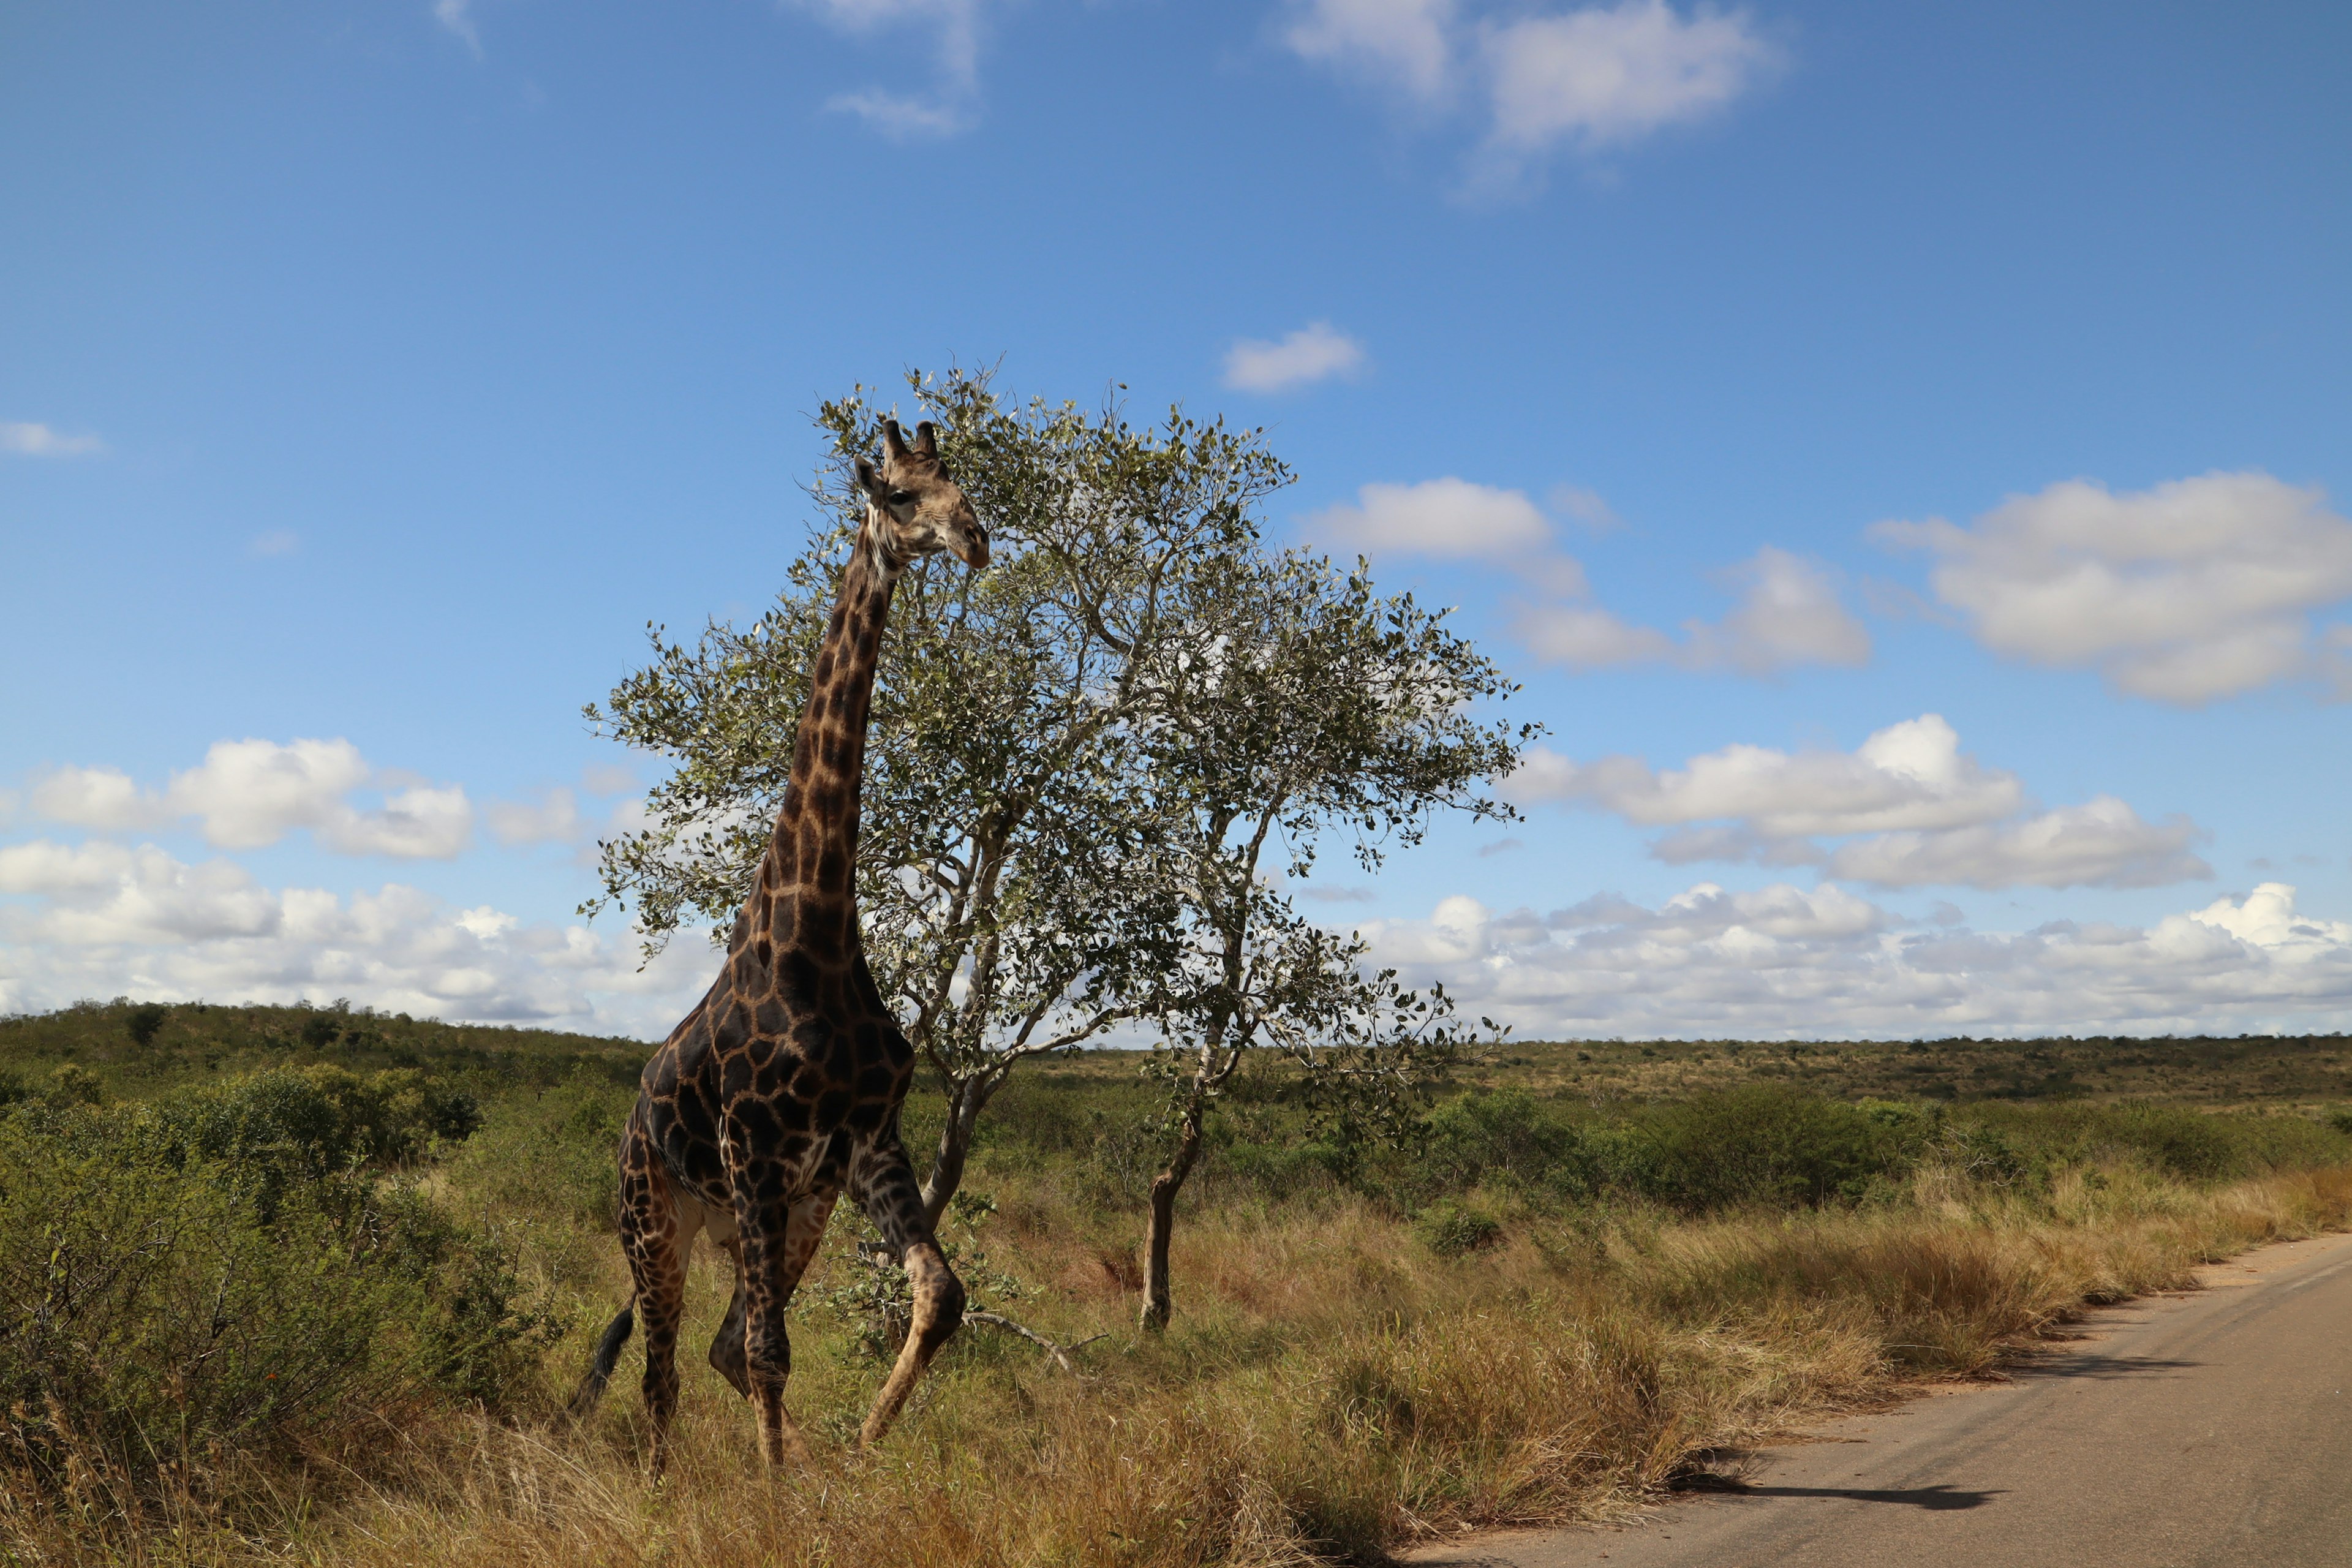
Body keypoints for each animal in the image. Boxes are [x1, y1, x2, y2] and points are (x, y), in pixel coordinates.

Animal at [573, 416, 987, 1476]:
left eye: (959, 480)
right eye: (895, 495)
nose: (973, 537)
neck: (820, 937)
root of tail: (628, 1128)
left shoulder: (861, 1143)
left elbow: (941, 1295)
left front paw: (861, 1456)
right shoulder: (756, 1147)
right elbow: (771, 1352)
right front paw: (777, 1499)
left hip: (781, 1213)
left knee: (715, 1347)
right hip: (657, 1219)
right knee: (667, 1371)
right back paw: (661, 1486)